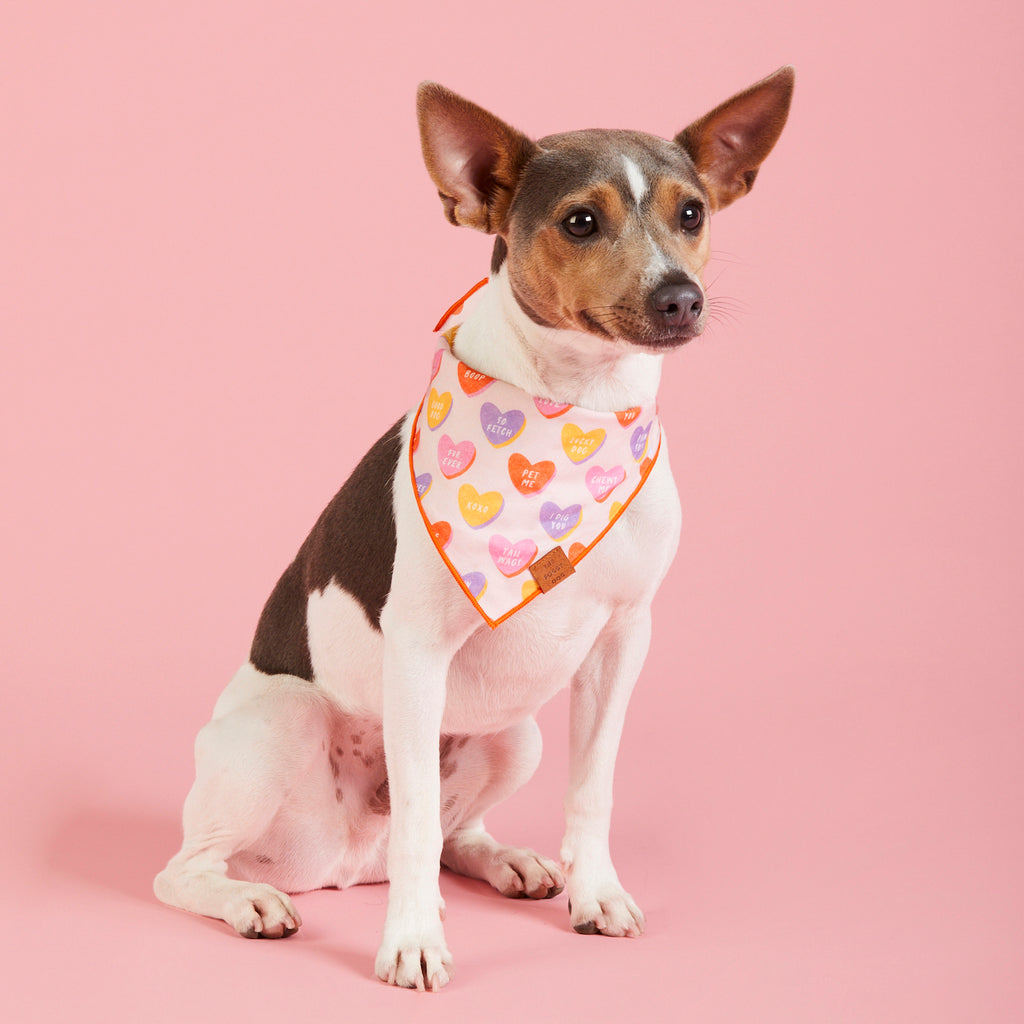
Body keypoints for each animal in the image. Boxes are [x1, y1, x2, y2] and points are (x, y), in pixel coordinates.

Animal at [153, 66, 790, 991]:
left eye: (693, 213)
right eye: (581, 221)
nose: (681, 296)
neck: (577, 407)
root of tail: (347, 862)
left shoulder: (623, 641)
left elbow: (591, 788)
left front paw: (595, 893)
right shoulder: (417, 653)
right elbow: (419, 816)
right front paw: (413, 940)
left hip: (514, 737)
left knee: (454, 834)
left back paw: (503, 859)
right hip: (283, 720)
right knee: (192, 868)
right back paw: (250, 901)